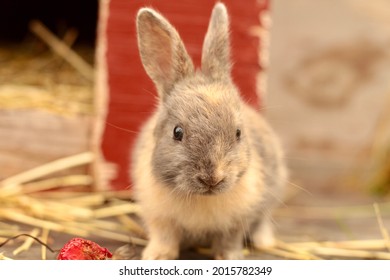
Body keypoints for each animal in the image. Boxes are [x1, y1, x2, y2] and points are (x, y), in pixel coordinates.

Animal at [131, 2, 286, 260]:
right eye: (177, 132)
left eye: (238, 133)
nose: (211, 178)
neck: (201, 197)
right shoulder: (160, 219)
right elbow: (165, 238)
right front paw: (156, 256)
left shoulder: (238, 221)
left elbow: (229, 241)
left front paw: (230, 258)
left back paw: (264, 242)